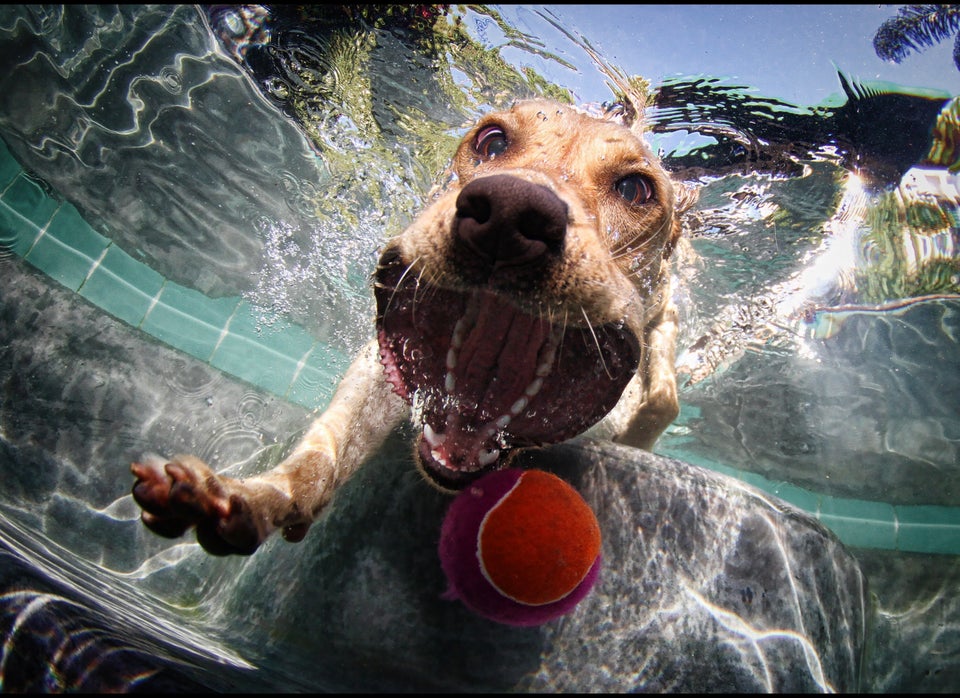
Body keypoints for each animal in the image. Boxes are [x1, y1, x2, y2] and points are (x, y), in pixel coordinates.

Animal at [131, 99, 692, 556]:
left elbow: (662, 397)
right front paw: (256, 498)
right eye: (491, 140)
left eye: (636, 189)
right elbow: (323, 452)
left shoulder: (658, 337)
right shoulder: (378, 371)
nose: (510, 214)